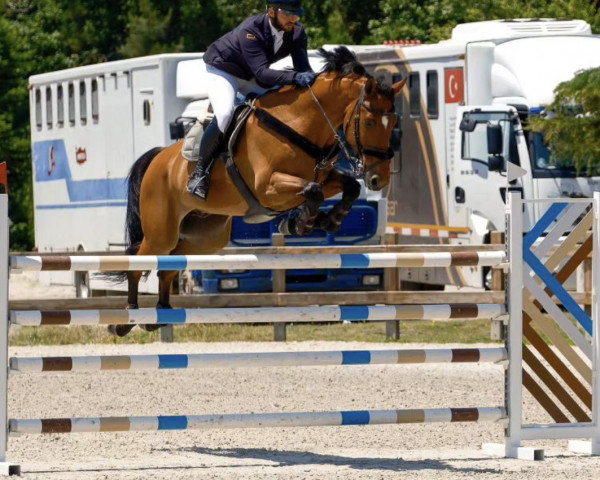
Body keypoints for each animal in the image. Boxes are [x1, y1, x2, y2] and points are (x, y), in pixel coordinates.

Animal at [110, 47, 406, 336]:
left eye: (393, 124)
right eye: (369, 123)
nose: (378, 179)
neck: (300, 123)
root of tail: (158, 158)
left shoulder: (323, 176)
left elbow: (348, 187)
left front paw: (327, 219)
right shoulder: (268, 187)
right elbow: (313, 191)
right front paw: (301, 222)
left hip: (206, 236)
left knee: (170, 264)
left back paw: (159, 315)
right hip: (162, 231)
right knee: (138, 262)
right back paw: (126, 320)